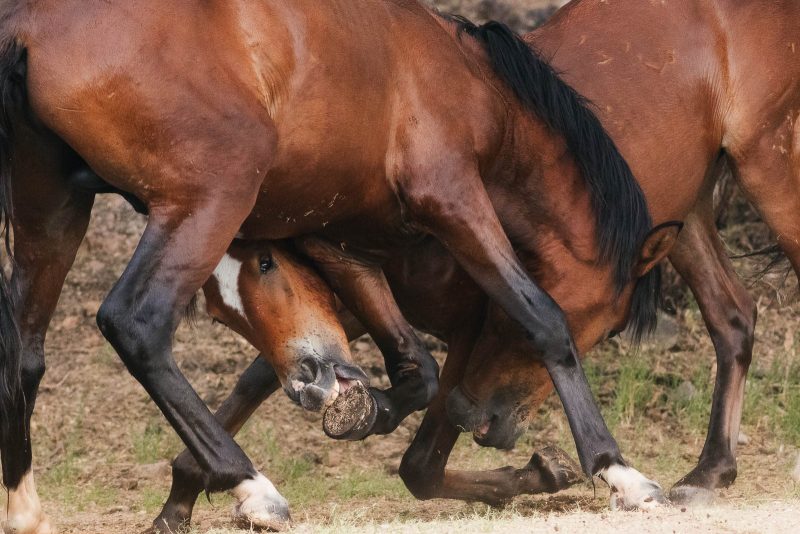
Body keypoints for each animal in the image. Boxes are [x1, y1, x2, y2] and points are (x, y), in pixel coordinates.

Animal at [0, 0, 664, 532]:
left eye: (269, 264)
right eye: (608, 327)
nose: (483, 420)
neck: (467, 76)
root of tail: (29, 25)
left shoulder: (340, 240)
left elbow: (417, 366)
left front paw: (371, 409)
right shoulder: (452, 197)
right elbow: (542, 318)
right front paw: (617, 470)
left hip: (52, 213)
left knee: (24, 351)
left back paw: (24, 508)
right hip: (212, 193)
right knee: (135, 323)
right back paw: (253, 487)